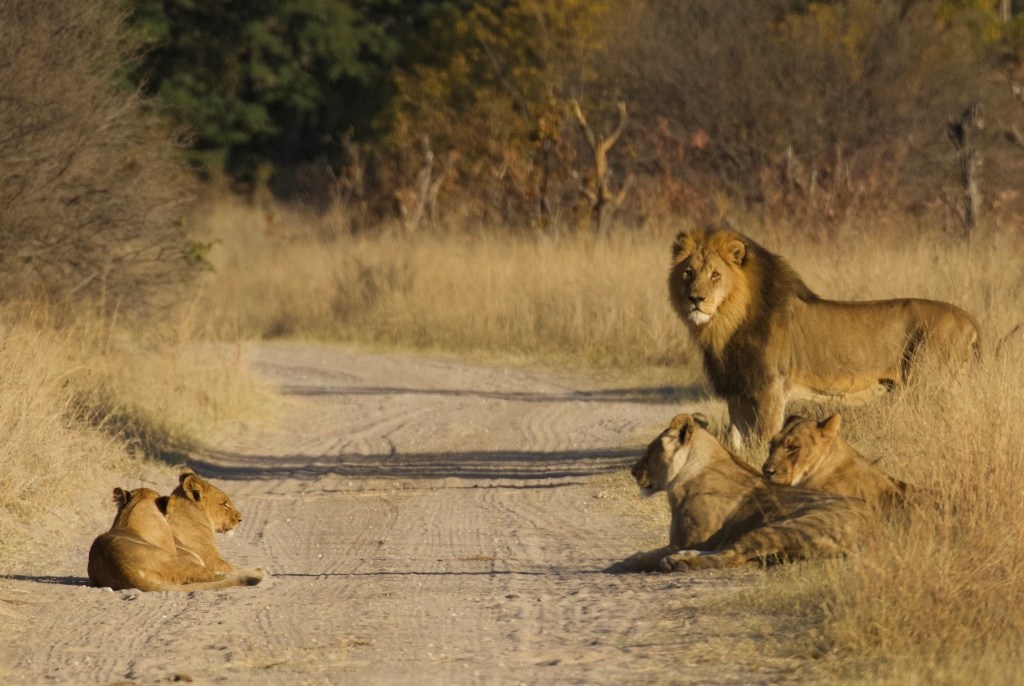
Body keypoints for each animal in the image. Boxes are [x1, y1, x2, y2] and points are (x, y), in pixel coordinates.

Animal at [87, 487, 264, 593]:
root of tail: (122, 567)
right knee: (217, 576)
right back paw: (258, 575)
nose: (240, 519)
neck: (132, 511)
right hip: (178, 561)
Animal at [606, 413, 872, 573]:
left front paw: (623, 562)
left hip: (776, 528)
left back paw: (682, 561)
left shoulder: (683, 540)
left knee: (731, 556)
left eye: (651, 450)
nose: (633, 471)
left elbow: (646, 556)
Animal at [667, 228, 978, 448]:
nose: (695, 299)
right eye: (688, 273)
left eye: (715, 274)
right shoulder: (738, 390)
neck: (725, 322)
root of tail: (970, 319)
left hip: (933, 387)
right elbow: (737, 443)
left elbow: (764, 439)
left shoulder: (772, 388)